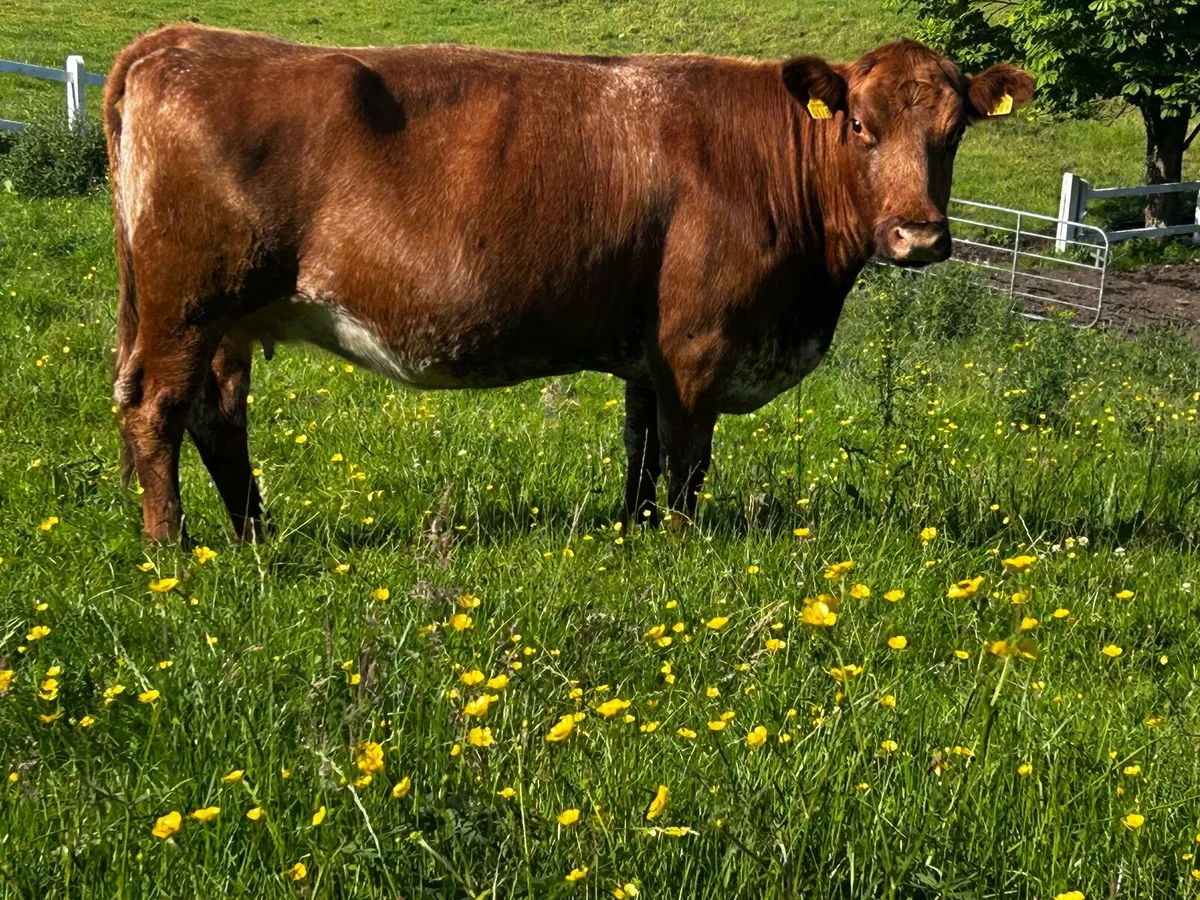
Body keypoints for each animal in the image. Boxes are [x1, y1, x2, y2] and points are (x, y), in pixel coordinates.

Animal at [103, 25, 1033, 542]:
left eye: (954, 132)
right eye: (861, 126)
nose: (920, 235)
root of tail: (182, 40)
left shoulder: (650, 350)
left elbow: (642, 449)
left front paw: (633, 533)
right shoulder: (699, 342)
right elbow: (687, 458)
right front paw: (680, 547)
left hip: (228, 316)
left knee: (219, 416)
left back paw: (253, 537)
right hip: (186, 302)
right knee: (157, 406)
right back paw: (170, 550)